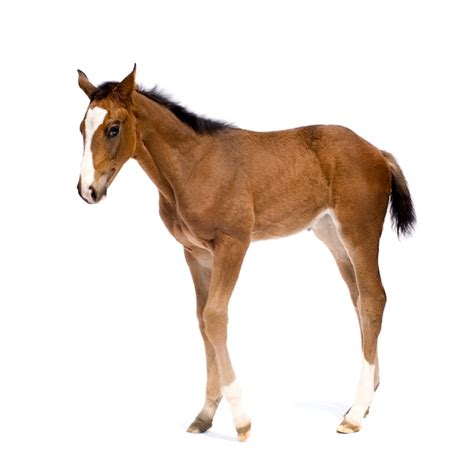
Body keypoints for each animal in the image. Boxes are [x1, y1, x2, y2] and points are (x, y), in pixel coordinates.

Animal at [75, 66, 414, 440]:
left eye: (113, 129)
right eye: (81, 129)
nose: (87, 190)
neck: (193, 166)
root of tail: (377, 151)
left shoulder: (233, 243)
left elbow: (215, 316)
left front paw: (241, 420)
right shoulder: (195, 253)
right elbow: (202, 319)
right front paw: (205, 414)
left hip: (359, 232)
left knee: (373, 300)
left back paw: (354, 414)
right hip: (334, 238)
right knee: (359, 300)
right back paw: (364, 402)